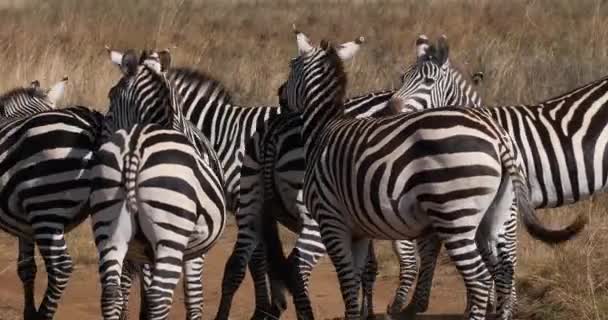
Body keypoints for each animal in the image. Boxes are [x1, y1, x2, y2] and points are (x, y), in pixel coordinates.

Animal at [0, 81, 103, 318]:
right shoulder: (24, 227)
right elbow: (26, 268)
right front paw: (28, 313)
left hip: (47, 210)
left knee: (61, 268)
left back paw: (44, 314)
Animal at [92, 49, 228, 320]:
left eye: (110, 97)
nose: (97, 141)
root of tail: (135, 150)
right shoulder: (196, 249)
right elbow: (194, 296)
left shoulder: (141, 251)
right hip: (170, 236)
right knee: (159, 298)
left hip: (109, 229)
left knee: (111, 294)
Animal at [270, 27, 584, 320]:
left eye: (291, 65)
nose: (280, 96)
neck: (324, 128)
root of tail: (498, 137)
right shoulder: (356, 230)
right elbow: (356, 280)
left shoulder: (331, 221)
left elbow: (347, 283)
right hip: (493, 216)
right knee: (503, 272)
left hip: (455, 214)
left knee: (480, 279)